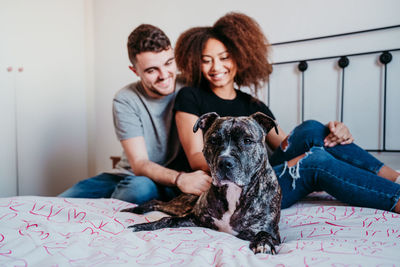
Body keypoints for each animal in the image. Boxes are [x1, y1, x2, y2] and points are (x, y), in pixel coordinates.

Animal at [121, 112, 282, 254]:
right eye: (213, 140)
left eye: (247, 141)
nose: (225, 162)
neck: (233, 191)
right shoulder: (195, 218)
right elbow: (166, 219)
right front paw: (143, 225)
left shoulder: (273, 234)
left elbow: (264, 234)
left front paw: (263, 243)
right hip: (182, 205)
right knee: (157, 203)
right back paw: (133, 209)